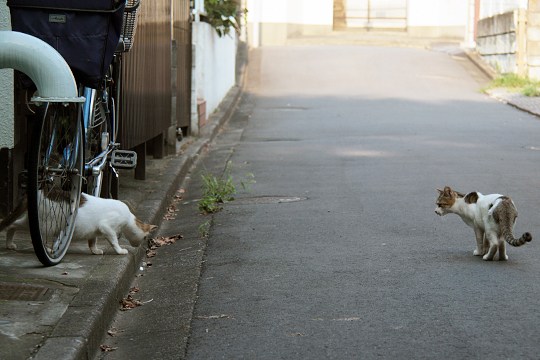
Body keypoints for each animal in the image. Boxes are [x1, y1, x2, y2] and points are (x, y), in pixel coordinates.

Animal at [2, 193, 157, 255]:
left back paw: (9, 244)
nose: (140, 245)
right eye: (144, 237)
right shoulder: (106, 227)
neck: (129, 218)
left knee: (12, 225)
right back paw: (50, 249)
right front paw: (120, 251)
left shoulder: (95, 231)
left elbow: (92, 242)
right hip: (48, 224)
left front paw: (95, 251)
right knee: (37, 238)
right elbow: (114, 241)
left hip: (29, 221)